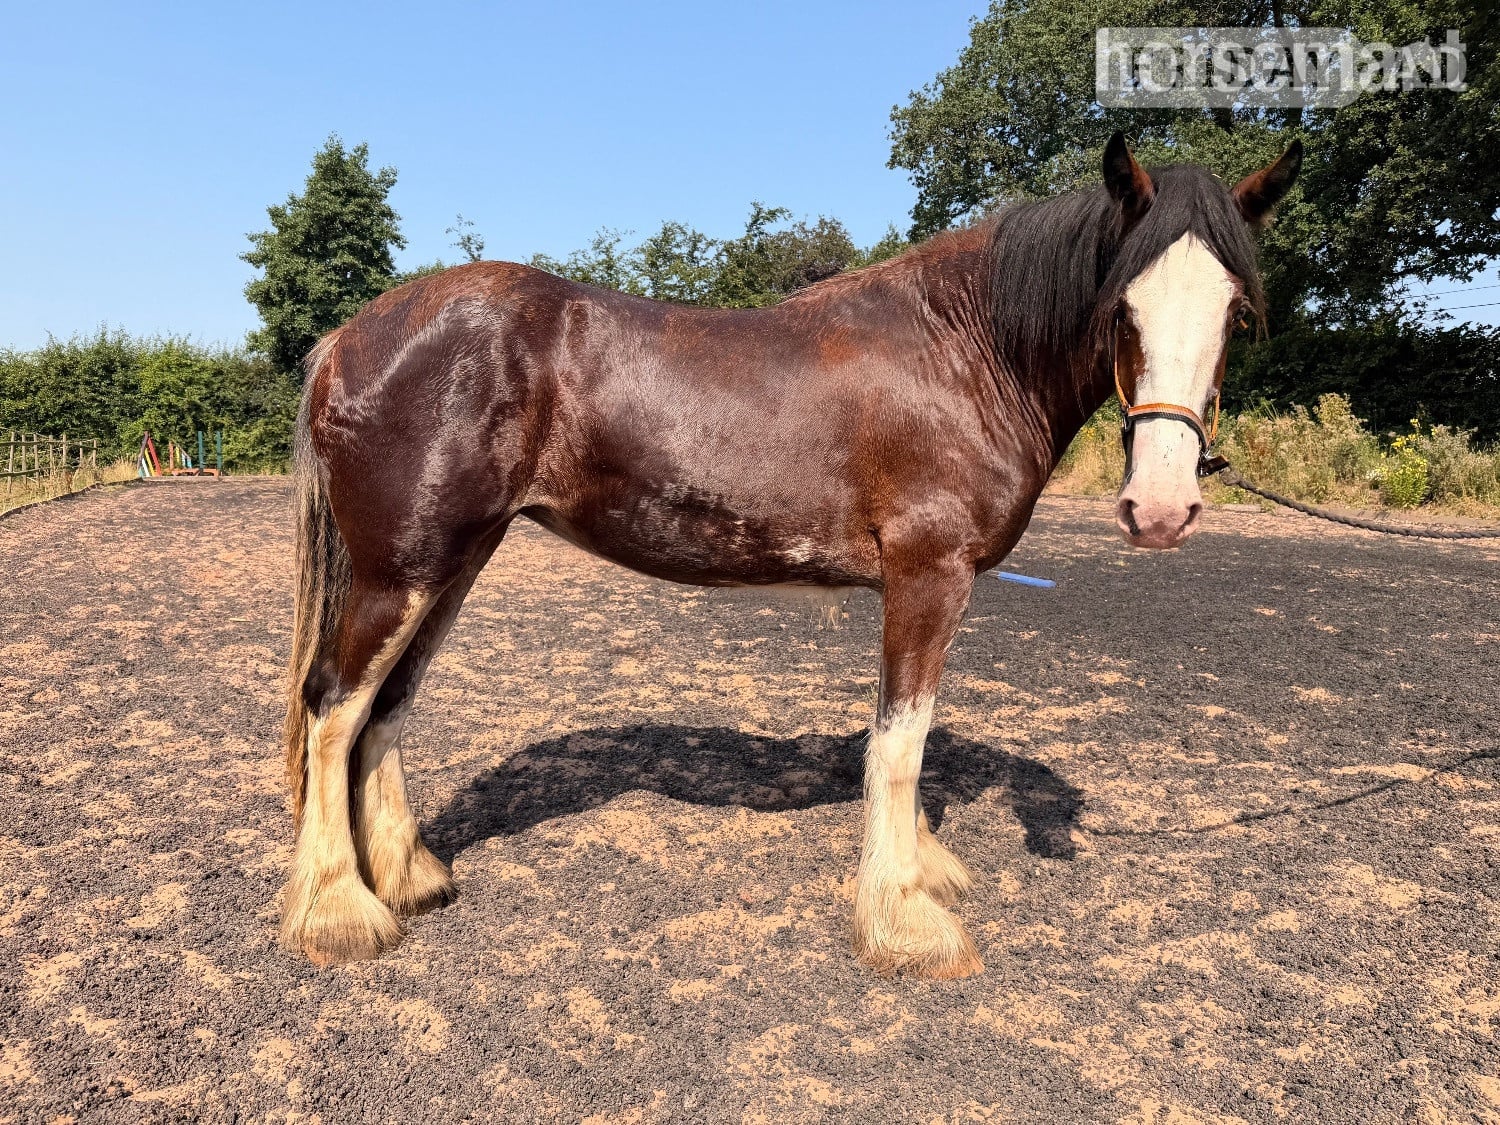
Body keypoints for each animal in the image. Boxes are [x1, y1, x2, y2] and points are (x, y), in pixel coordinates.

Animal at [279, 133, 1301, 978]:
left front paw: (922, 869)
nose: (1161, 507)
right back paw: (338, 910)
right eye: (1123, 305)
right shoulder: (927, 575)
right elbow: (901, 739)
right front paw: (904, 918)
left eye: (1234, 314)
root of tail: (348, 339)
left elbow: (909, 736)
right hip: (402, 571)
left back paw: (407, 875)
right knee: (334, 707)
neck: (965, 351)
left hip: (452, 565)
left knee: (385, 708)